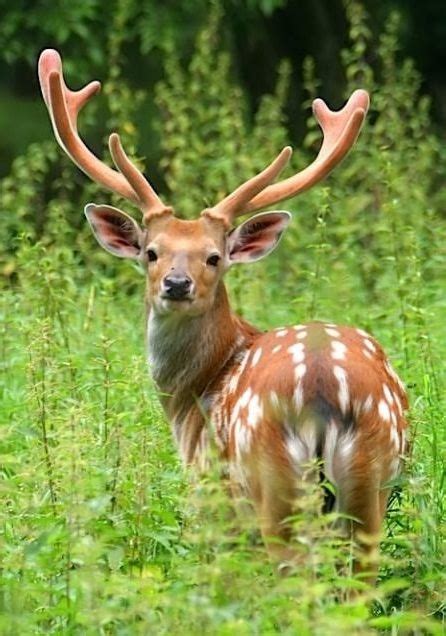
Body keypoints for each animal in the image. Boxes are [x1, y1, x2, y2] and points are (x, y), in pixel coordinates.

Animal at [38, 47, 408, 580]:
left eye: (214, 257)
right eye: (151, 252)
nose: (176, 284)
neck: (193, 395)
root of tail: (323, 386)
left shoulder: (209, 492)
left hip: (271, 480)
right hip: (369, 482)